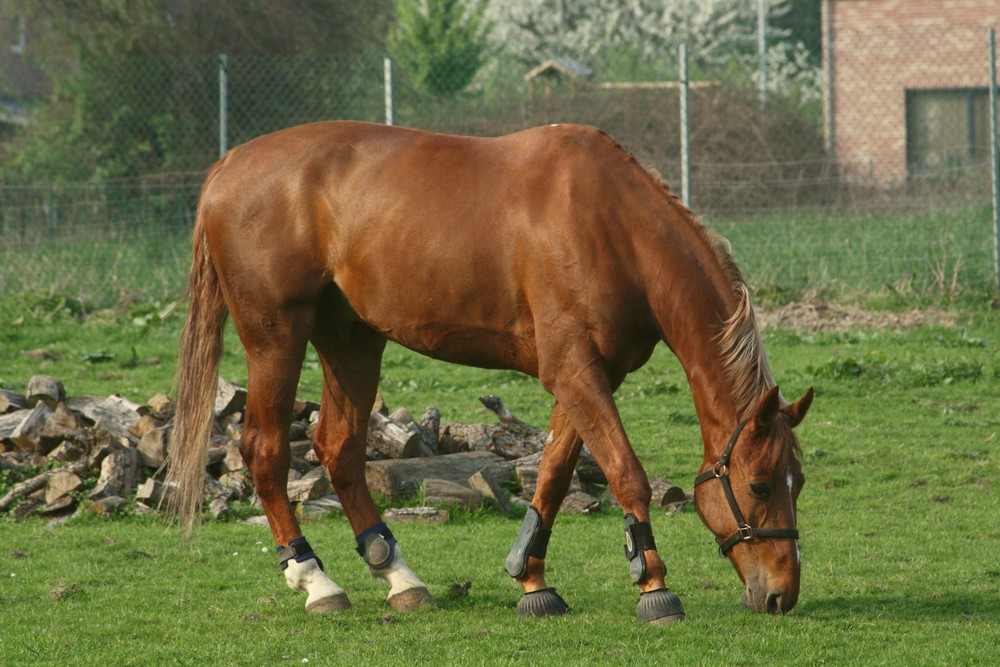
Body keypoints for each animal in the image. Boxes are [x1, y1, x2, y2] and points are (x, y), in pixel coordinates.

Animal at [166, 121, 812, 628]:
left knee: (340, 449)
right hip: (276, 337)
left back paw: (399, 576)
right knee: (266, 449)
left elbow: (552, 474)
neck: (610, 227)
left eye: (797, 482)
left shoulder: (588, 375)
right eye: (759, 485)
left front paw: (533, 581)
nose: (781, 594)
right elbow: (627, 473)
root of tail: (229, 164)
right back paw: (314, 579)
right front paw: (654, 586)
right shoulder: (575, 370)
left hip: (352, 342)